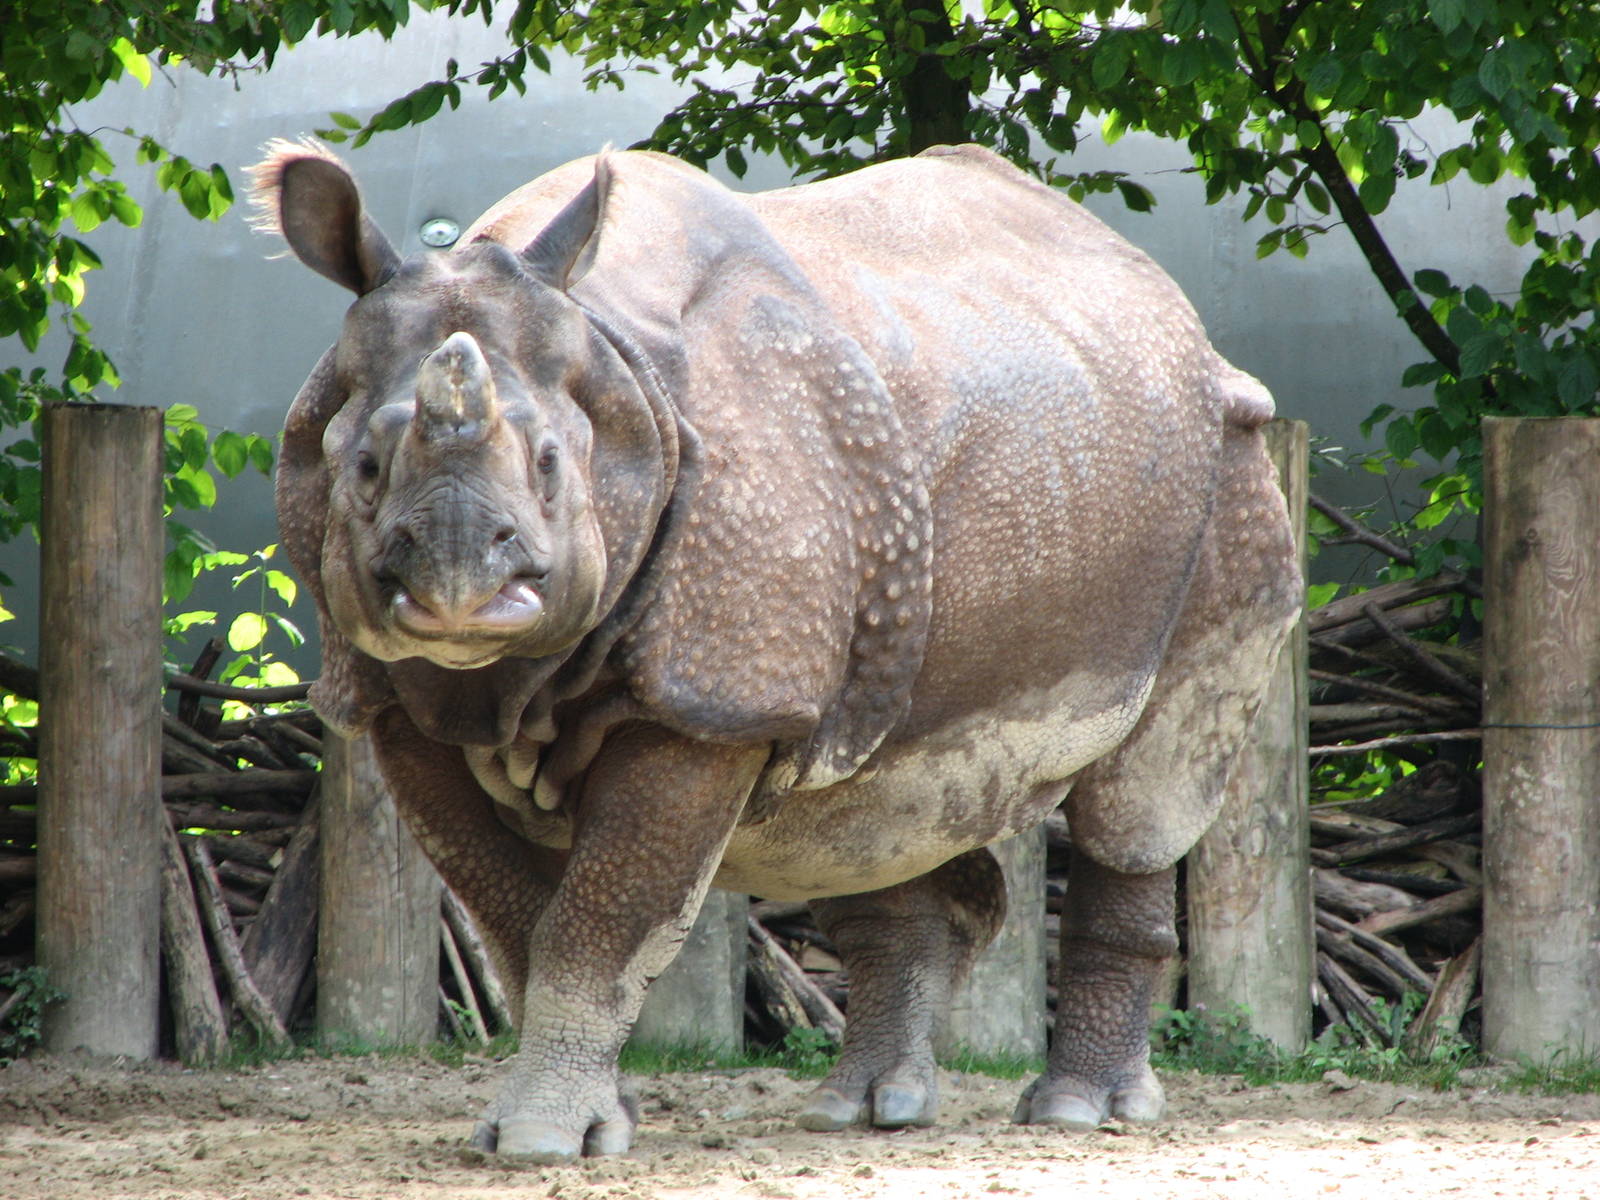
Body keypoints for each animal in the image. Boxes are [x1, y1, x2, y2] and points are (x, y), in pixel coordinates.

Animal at [250, 139, 1300, 1159]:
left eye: (552, 466)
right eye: (364, 467)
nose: (463, 587)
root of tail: (1173, 304)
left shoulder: (708, 705)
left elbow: (597, 926)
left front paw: (542, 1141)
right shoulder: (397, 705)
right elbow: (517, 925)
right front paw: (586, 1123)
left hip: (1223, 466)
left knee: (1144, 794)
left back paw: (1079, 1113)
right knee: (859, 810)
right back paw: (864, 1111)